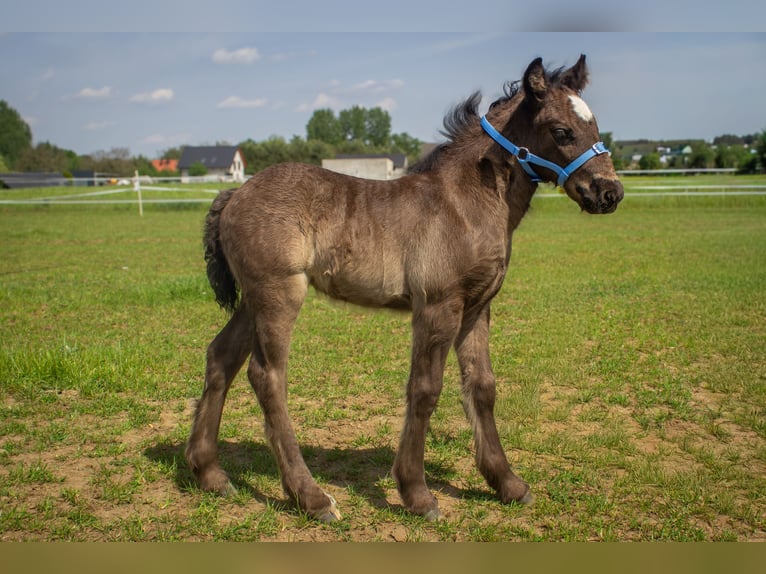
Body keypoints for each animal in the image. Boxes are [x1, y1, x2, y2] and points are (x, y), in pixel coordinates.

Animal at [185, 55, 624, 522]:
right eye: (562, 131)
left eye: (595, 126)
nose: (609, 192)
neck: (465, 203)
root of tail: (234, 194)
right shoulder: (437, 306)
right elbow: (425, 388)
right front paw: (417, 493)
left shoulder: (477, 308)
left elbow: (482, 388)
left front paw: (507, 483)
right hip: (278, 294)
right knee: (267, 376)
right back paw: (312, 497)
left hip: (252, 299)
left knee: (221, 357)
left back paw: (210, 473)